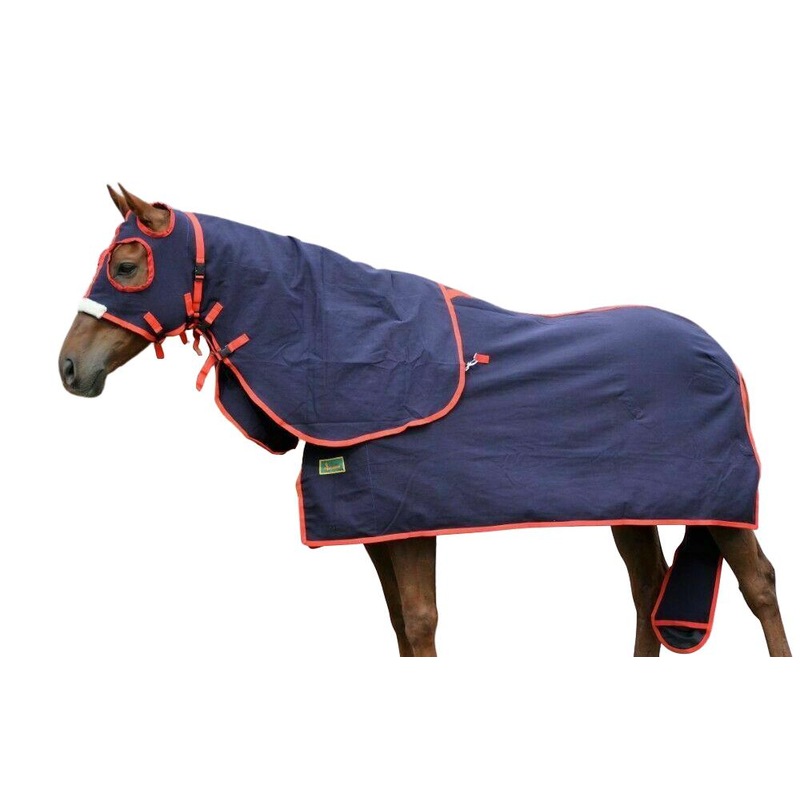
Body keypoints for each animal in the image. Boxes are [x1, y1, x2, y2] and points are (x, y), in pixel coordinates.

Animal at [58, 185, 792, 657]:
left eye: (127, 266)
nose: (69, 368)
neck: (345, 342)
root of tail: (723, 358)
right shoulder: (379, 527)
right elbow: (399, 627)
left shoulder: (409, 523)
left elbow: (418, 622)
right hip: (632, 505)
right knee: (646, 591)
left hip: (721, 505)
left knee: (758, 585)